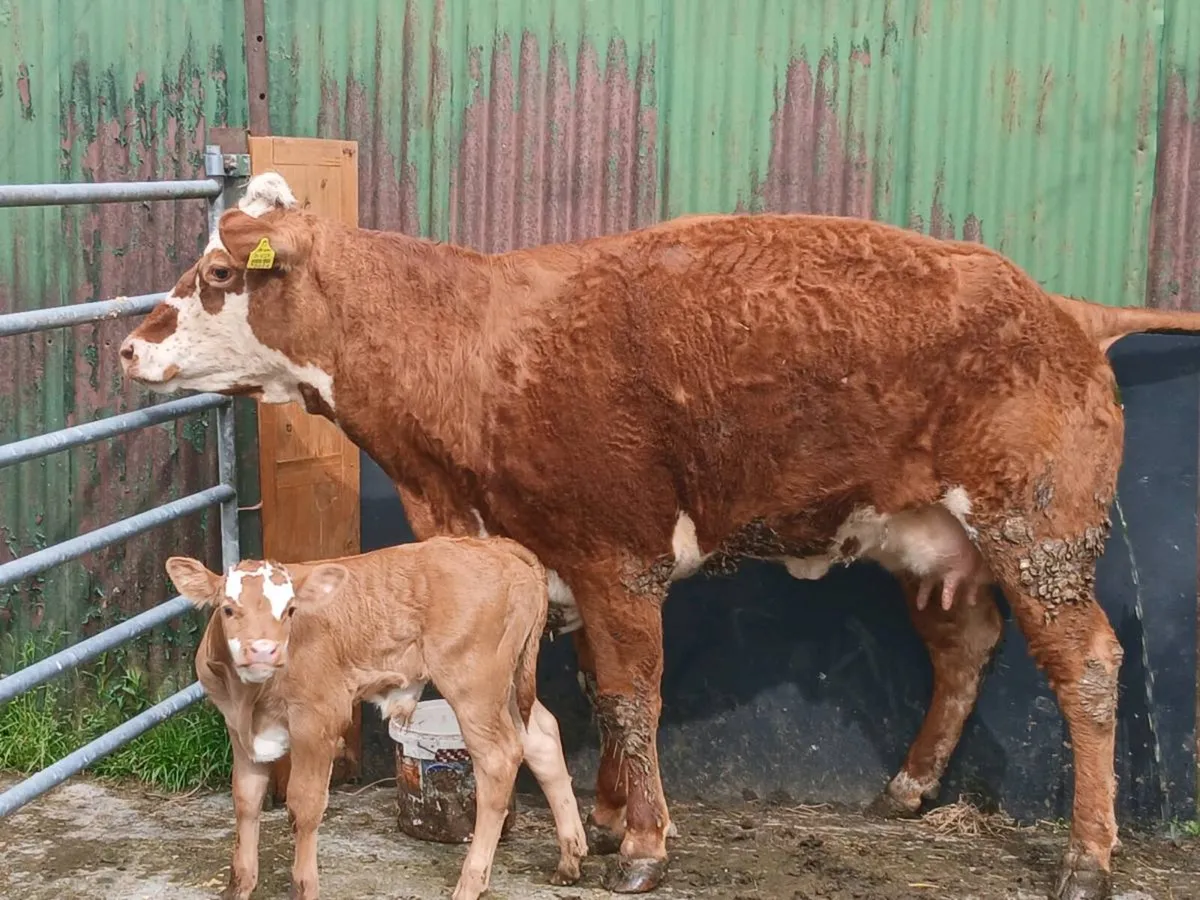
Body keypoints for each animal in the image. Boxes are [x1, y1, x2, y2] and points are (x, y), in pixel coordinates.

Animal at [165, 536, 588, 900]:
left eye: (289, 611)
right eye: (228, 609)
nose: (264, 650)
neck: (250, 698)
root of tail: (493, 545)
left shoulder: (319, 719)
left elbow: (304, 805)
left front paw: (304, 887)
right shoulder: (238, 728)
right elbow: (245, 800)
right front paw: (240, 886)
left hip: (475, 684)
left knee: (499, 760)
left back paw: (471, 883)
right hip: (509, 685)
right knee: (541, 736)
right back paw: (569, 860)